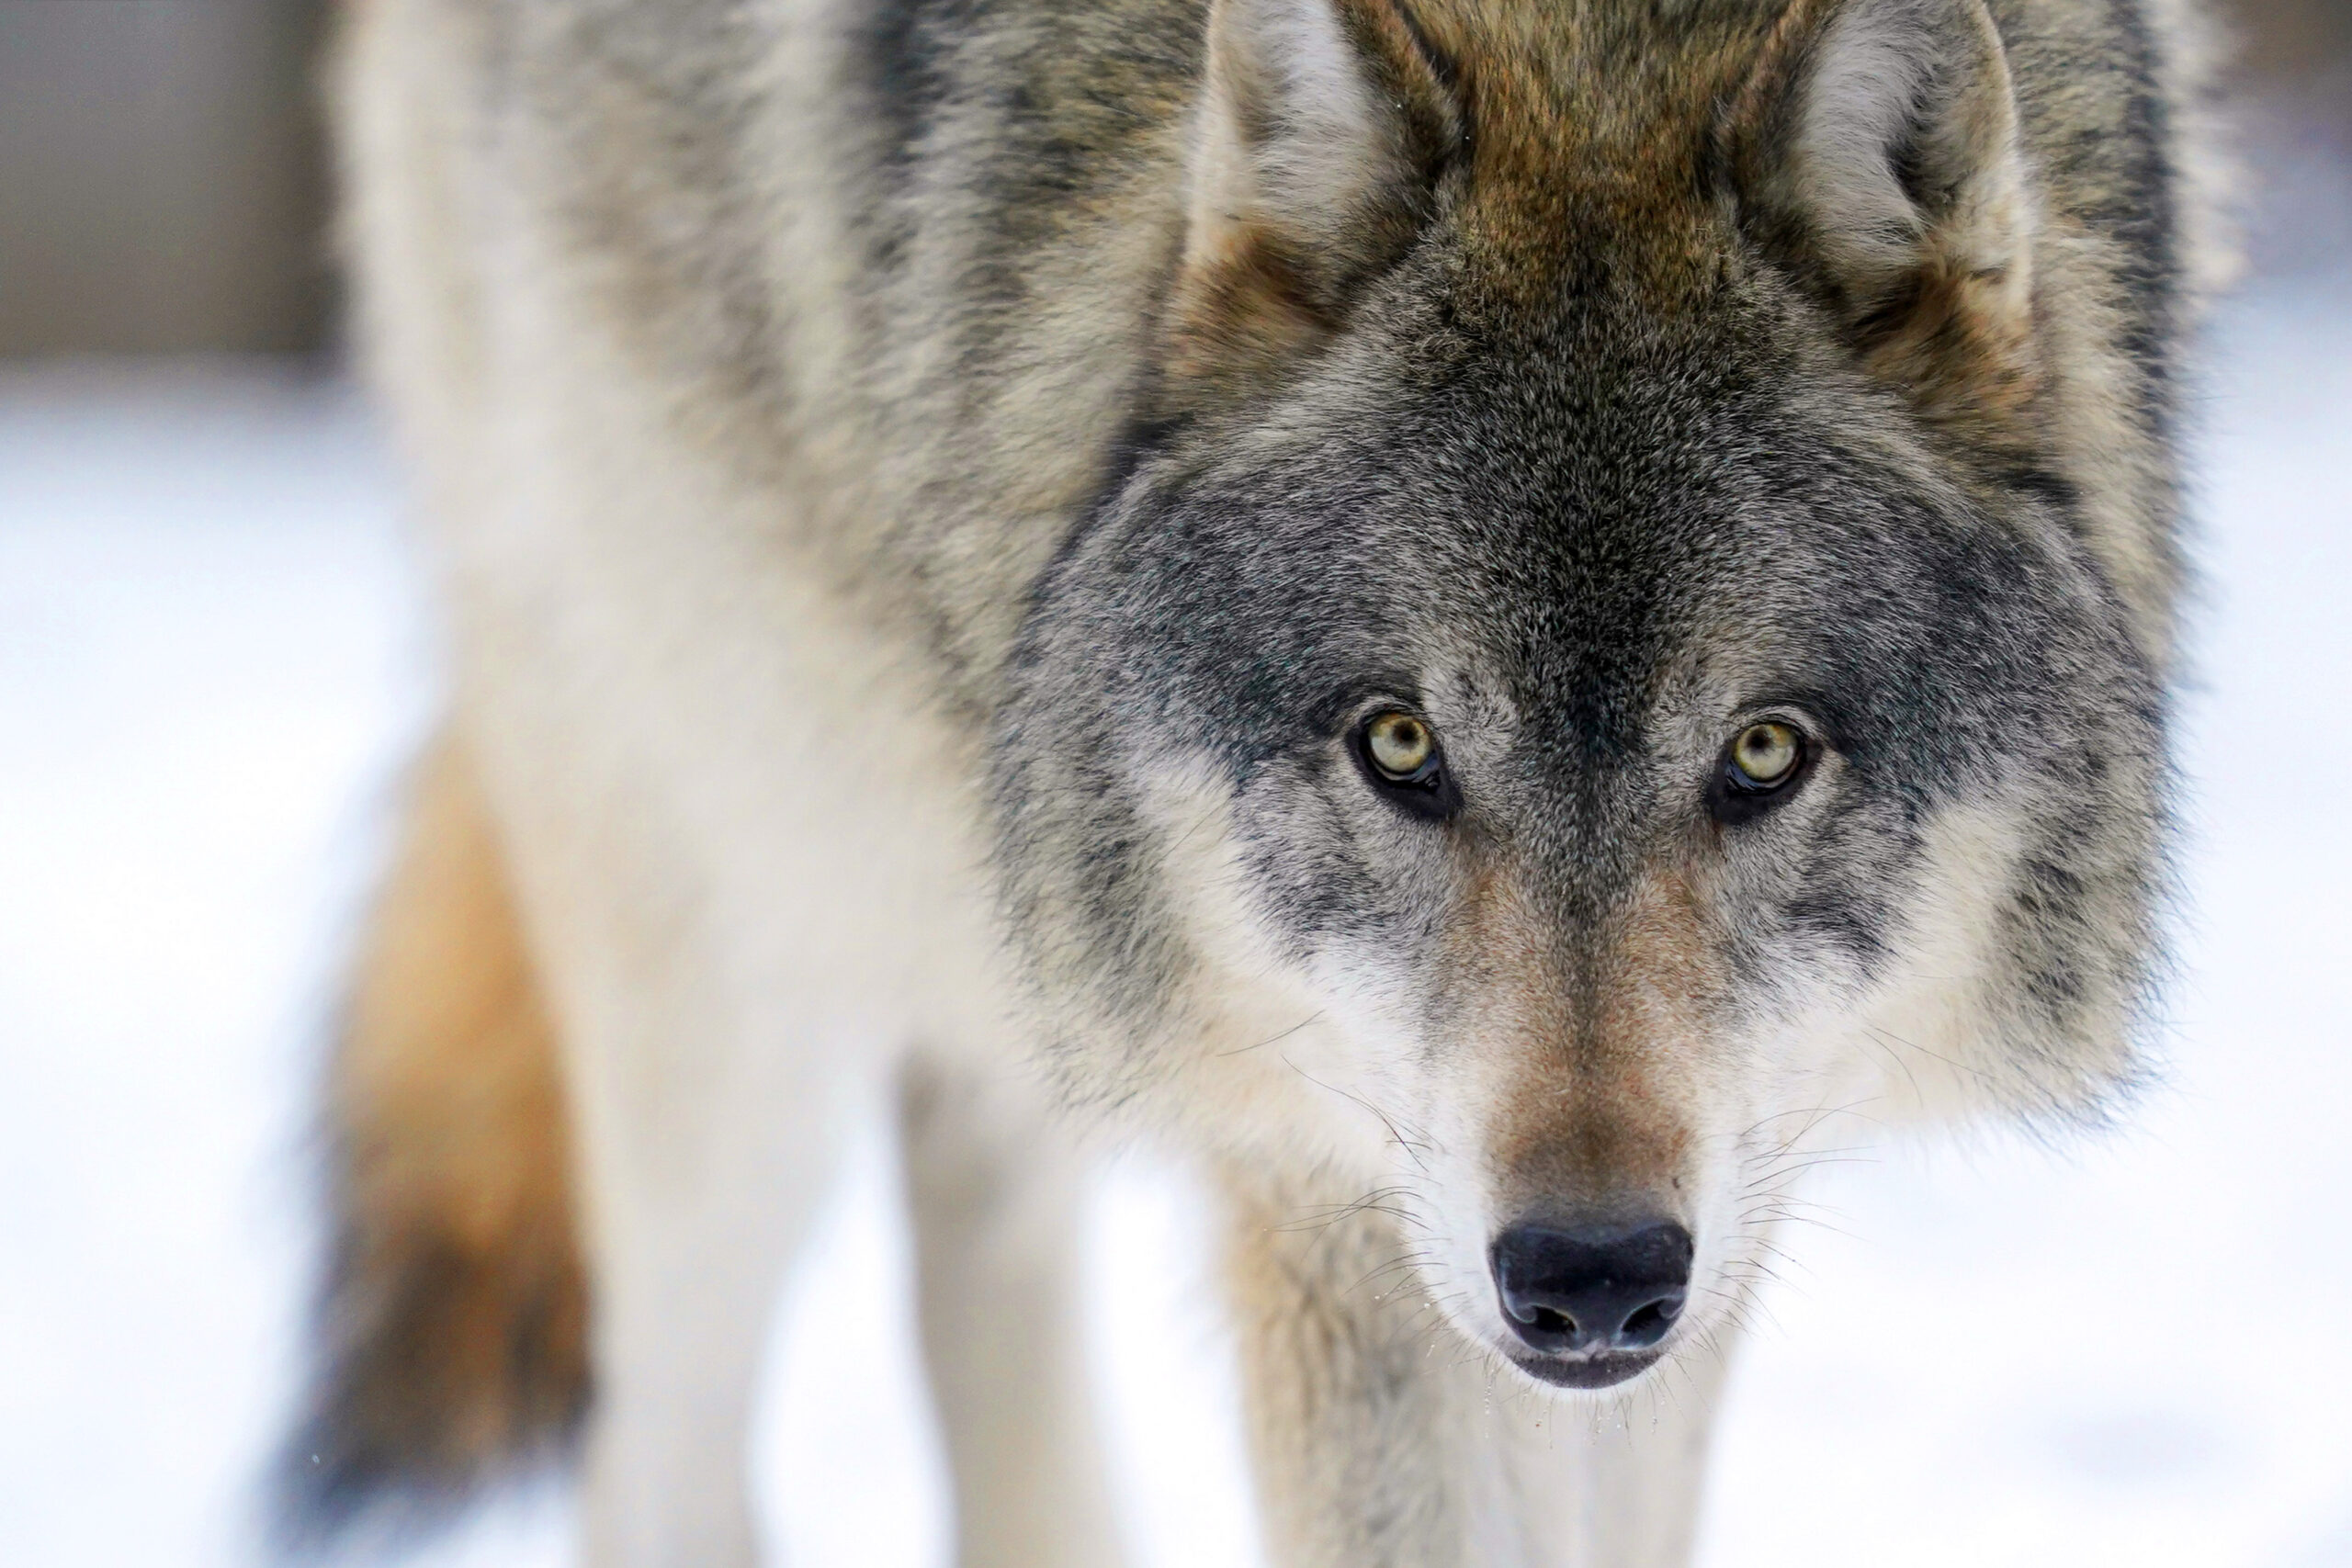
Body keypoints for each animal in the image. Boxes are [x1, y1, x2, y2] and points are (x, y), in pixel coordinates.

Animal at [284, 0, 2211, 1561]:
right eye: (1401, 744)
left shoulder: (1715, 1215)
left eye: (1761, 753)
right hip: (734, 951)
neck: (1599, 40)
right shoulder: (1342, 1195)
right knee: (651, 1454)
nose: (1588, 1275)